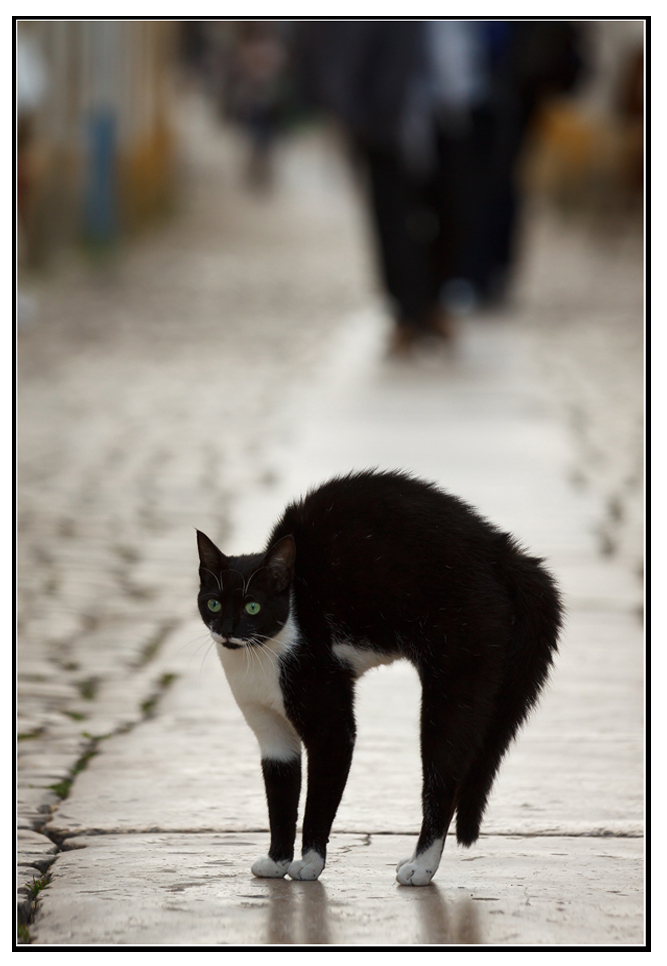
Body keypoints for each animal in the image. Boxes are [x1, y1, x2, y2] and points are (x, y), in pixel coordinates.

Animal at [196, 472, 560, 888]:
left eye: (253, 606)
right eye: (213, 603)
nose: (227, 631)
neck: (260, 657)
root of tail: (506, 553)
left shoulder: (331, 725)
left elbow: (319, 799)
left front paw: (310, 863)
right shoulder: (270, 733)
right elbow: (281, 796)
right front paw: (277, 860)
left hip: (456, 680)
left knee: (444, 779)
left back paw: (421, 866)